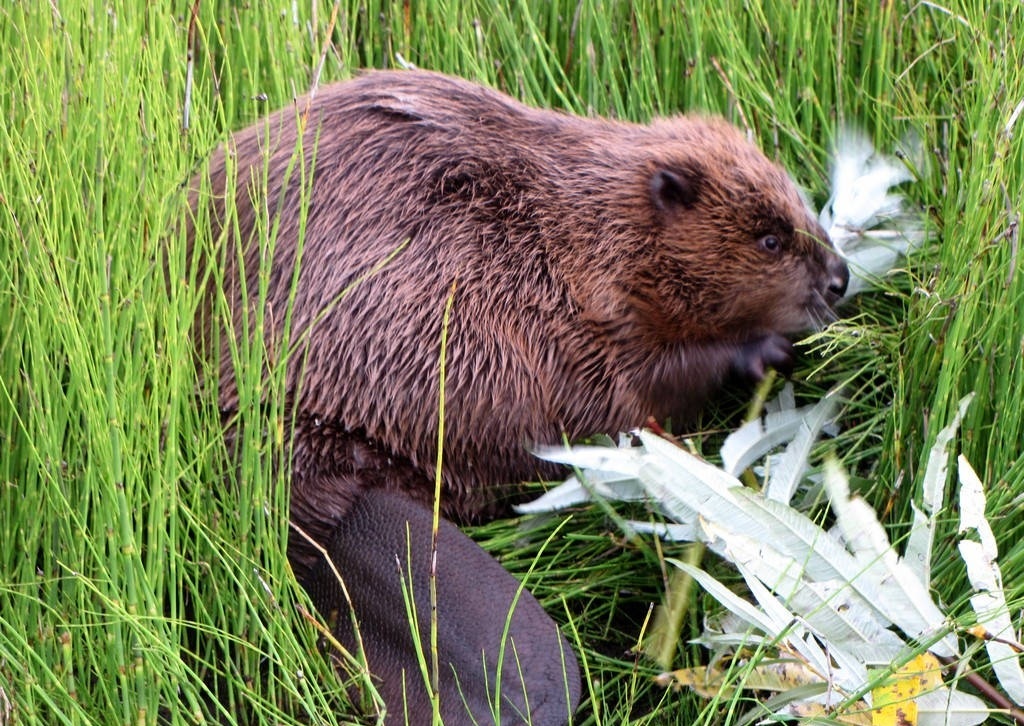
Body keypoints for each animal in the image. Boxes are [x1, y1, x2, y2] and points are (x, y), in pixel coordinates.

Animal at [192, 69, 847, 724]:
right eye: (769, 240)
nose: (839, 277)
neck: (591, 226)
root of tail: (332, 509)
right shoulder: (585, 318)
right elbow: (648, 386)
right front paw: (766, 349)